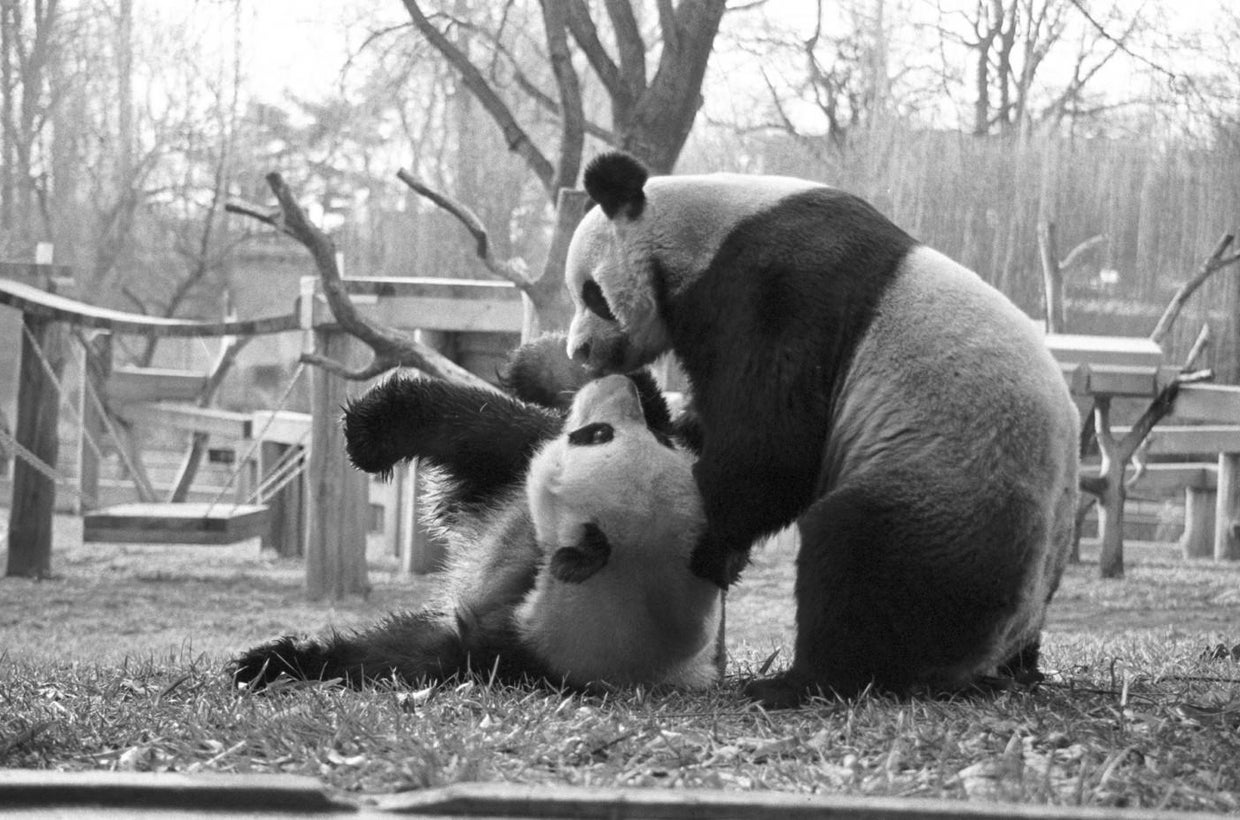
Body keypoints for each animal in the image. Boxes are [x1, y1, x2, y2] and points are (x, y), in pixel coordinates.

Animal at [231, 341, 722, 692]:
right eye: (658, 439)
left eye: (599, 435)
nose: (624, 393)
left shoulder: (513, 650)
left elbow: (407, 653)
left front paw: (278, 662)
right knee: (488, 427)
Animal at [564, 151, 1081, 707]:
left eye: (591, 295)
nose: (579, 352)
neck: (703, 232)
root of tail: (995, 647)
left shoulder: (777, 289)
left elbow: (775, 444)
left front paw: (709, 541)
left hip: (945, 499)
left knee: (862, 567)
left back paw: (798, 683)